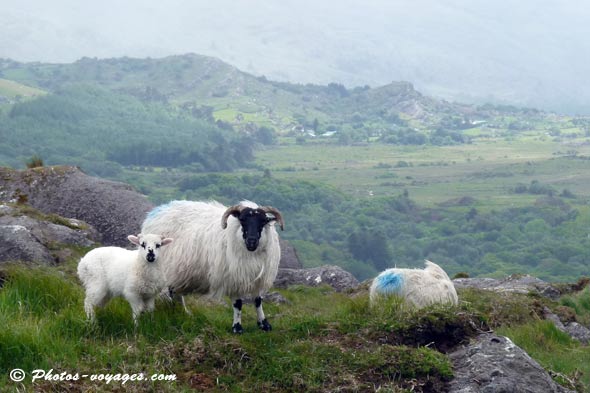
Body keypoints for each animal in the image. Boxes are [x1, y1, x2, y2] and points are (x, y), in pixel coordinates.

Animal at [141, 201, 284, 332]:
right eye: (242, 219)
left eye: (263, 221)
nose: (252, 241)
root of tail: (156, 212)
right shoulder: (233, 277)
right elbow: (238, 303)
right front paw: (237, 328)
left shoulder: (258, 278)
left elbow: (258, 301)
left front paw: (264, 324)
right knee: (172, 291)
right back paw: (178, 311)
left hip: (179, 270)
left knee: (175, 292)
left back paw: (182, 312)